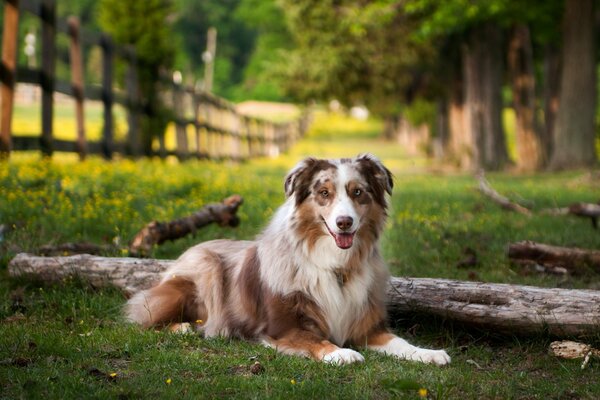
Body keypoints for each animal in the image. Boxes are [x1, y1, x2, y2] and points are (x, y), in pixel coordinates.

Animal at [126, 153, 450, 366]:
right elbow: (316, 340)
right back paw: (183, 327)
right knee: (141, 317)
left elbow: (400, 341)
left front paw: (429, 353)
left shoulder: (366, 327)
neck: (335, 265)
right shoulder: (283, 328)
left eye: (358, 192)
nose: (344, 222)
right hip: (203, 272)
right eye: (324, 193)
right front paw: (341, 352)